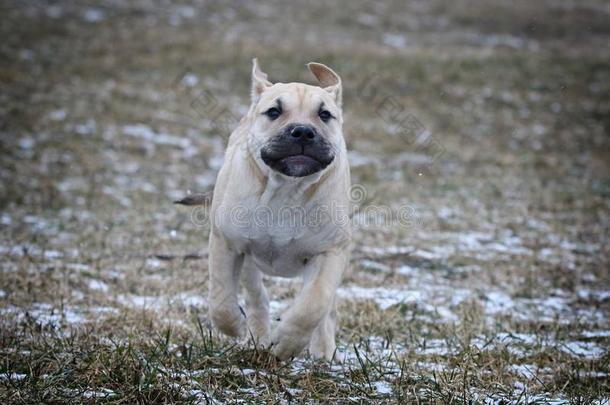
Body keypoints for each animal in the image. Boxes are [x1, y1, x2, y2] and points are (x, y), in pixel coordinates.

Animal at [207, 58, 350, 358]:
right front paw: (234, 326)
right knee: (256, 296)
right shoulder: (226, 242)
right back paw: (258, 335)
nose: (303, 131)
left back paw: (322, 350)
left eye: (325, 115)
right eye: (274, 111)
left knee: (325, 309)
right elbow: (221, 296)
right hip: (249, 261)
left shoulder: (330, 252)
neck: (287, 189)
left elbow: (314, 304)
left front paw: (287, 344)